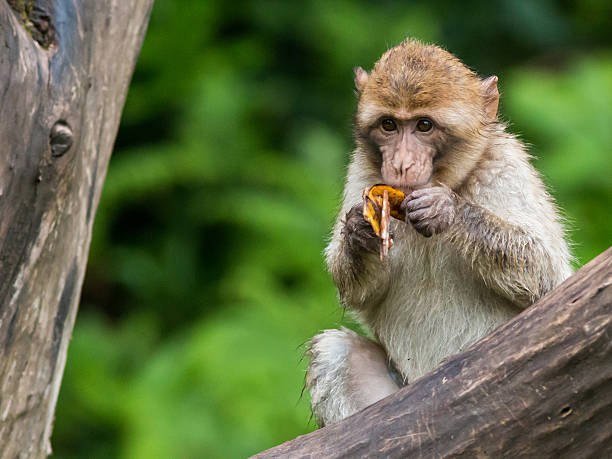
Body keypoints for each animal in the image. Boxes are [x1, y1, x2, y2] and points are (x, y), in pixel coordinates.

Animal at [306, 39, 572, 428]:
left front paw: (447, 210)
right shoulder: (362, 172)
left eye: (424, 125)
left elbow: (545, 278)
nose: (401, 164)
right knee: (334, 352)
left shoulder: (505, 165)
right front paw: (358, 230)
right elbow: (360, 293)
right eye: (389, 124)